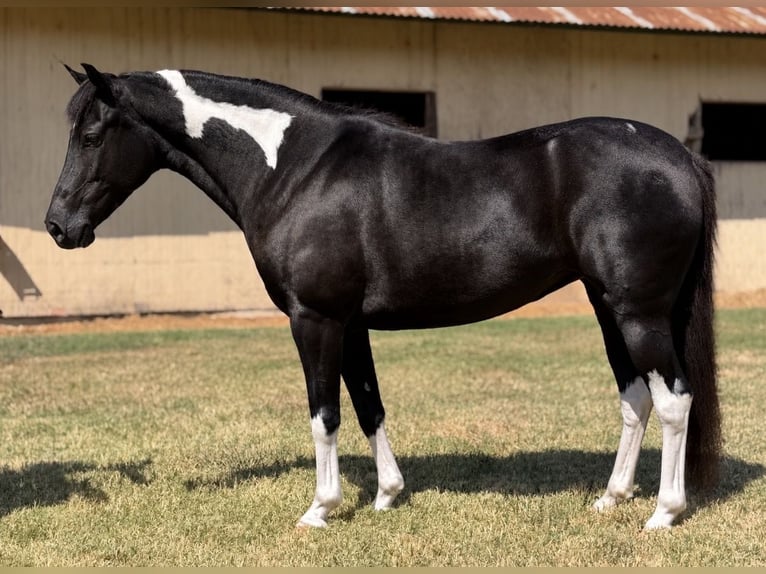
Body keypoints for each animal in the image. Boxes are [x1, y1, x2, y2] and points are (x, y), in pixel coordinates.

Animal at [46, 63, 721, 530]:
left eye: (93, 133)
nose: (58, 227)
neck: (294, 167)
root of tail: (678, 155)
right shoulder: (351, 324)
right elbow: (369, 405)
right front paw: (387, 496)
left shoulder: (315, 319)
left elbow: (325, 413)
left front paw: (320, 509)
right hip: (609, 308)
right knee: (636, 398)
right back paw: (611, 498)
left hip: (638, 314)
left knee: (673, 401)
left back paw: (663, 513)